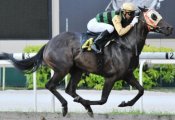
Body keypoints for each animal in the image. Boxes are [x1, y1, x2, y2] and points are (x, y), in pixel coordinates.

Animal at [3, 7, 173, 116]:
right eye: (153, 16)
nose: (170, 28)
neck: (127, 44)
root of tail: (48, 43)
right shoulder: (111, 77)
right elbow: (103, 100)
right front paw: (91, 104)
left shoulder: (127, 75)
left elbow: (141, 90)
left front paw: (125, 103)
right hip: (62, 69)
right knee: (50, 85)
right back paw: (66, 106)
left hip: (77, 70)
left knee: (70, 89)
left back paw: (82, 102)